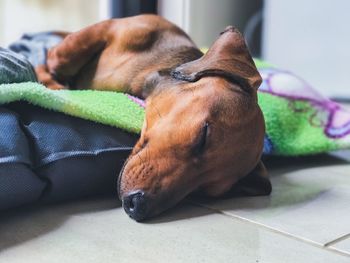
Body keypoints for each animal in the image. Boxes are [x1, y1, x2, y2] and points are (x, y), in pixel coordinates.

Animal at [34, 13, 270, 221]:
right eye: (204, 136)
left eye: (206, 190)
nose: (138, 206)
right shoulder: (118, 28)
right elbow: (59, 56)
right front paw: (54, 83)